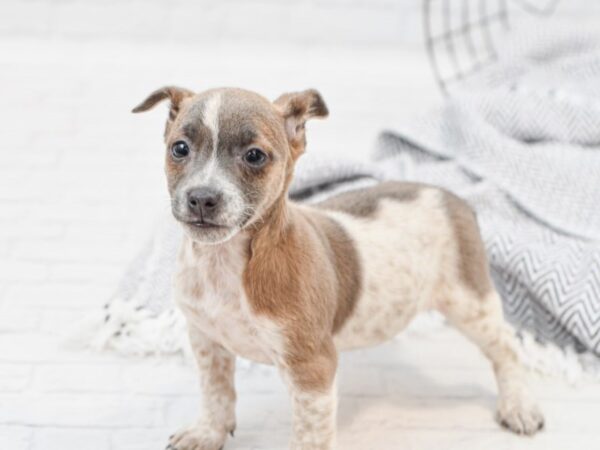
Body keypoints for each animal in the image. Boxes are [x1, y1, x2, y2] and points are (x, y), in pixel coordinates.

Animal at [134, 86, 548, 448]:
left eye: (254, 156)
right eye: (180, 148)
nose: (202, 198)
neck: (224, 264)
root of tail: (448, 195)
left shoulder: (312, 369)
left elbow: (309, 437)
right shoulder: (207, 341)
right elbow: (216, 394)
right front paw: (208, 432)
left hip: (470, 304)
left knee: (507, 349)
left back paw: (519, 405)